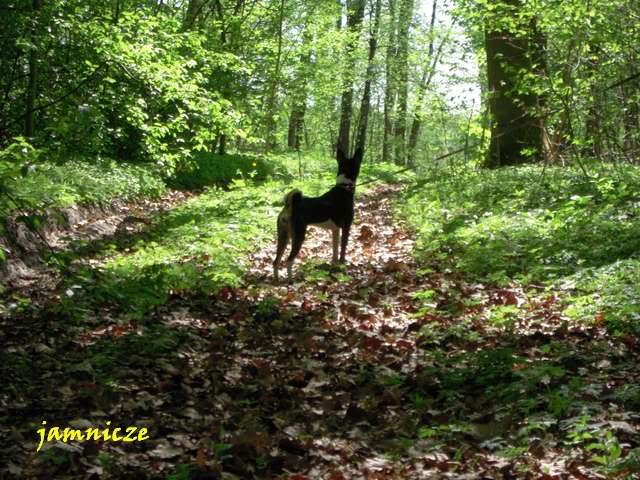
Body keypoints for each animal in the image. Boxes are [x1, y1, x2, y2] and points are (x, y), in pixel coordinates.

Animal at [273, 148, 363, 282]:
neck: (344, 188)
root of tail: (291, 205)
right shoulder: (346, 227)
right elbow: (342, 249)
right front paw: (342, 266)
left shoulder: (335, 230)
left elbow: (335, 251)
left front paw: (334, 266)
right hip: (298, 236)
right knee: (288, 261)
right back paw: (291, 280)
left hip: (283, 236)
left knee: (276, 261)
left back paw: (276, 280)